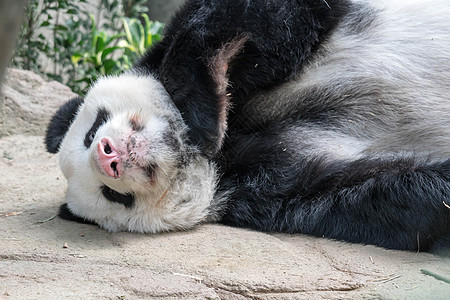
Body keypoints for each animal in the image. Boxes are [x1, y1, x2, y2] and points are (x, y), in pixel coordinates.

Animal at [45, 0, 450, 252]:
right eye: (112, 195)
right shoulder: (262, 189)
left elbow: (248, 18)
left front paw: (201, 115)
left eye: (92, 129)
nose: (107, 155)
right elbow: (368, 193)